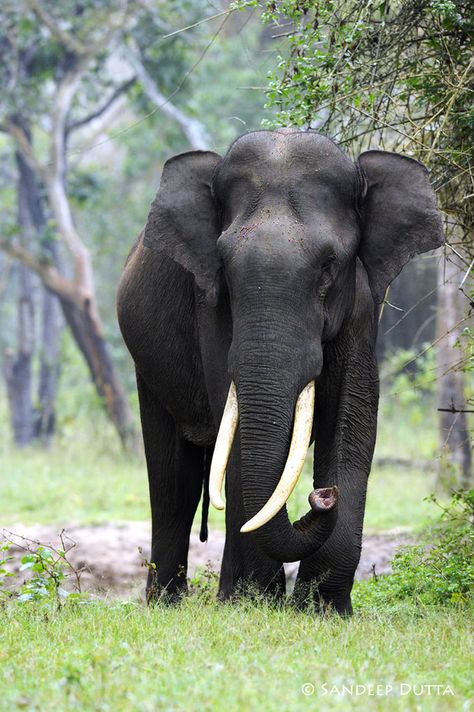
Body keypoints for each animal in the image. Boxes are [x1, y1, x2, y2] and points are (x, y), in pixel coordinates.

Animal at [116, 126, 442, 612]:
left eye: (329, 266)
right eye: (225, 267)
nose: (322, 496)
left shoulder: (362, 305)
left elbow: (353, 422)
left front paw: (324, 610)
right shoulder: (210, 305)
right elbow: (233, 430)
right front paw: (253, 602)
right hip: (147, 364)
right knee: (174, 478)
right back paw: (167, 604)